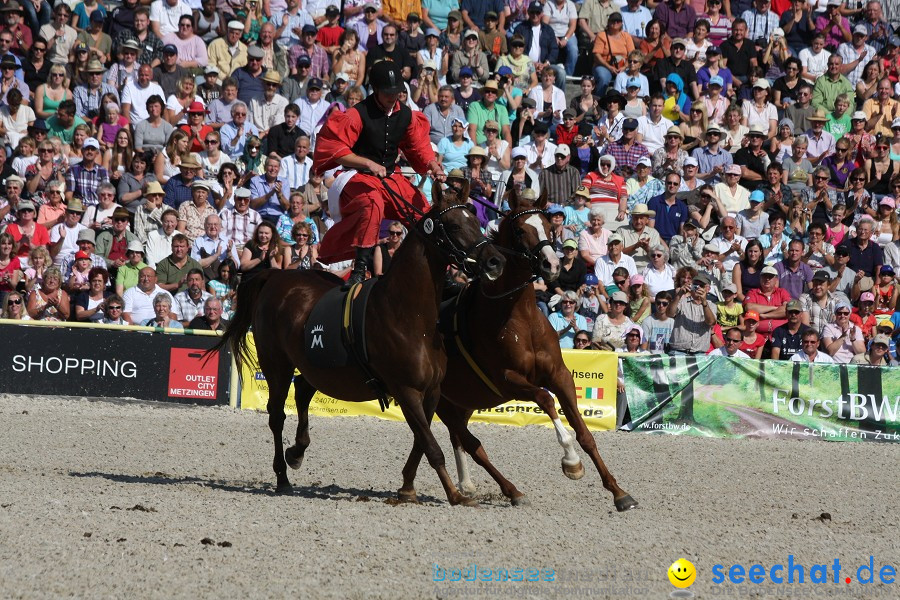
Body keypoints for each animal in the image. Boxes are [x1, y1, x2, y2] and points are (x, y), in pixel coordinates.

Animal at [214, 179, 502, 506]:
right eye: (453, 225)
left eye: (476, 221)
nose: (494, 261)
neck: (409, 314)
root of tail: (275, 277)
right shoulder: (406, 391)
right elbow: (431, 446)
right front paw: (454, 493)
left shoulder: (431, 393)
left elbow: (422, 441)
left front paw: (408, 488)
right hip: (277, 365)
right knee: (277, 415)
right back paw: (283, 477)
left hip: (316, 367)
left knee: (302, 391)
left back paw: (297, 452)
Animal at [398, 188, 636, 510]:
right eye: (521, 230)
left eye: (548, 227)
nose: (552, 265)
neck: (520, 319)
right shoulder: (509, 380)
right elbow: (546, 401)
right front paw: (571, 461)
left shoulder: (559, 375)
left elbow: (584, 433)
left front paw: (619, 492)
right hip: (443, 401)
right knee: (466, 442)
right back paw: (504, 489)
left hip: (459, 402)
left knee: (447, 438)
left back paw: (461, 485)